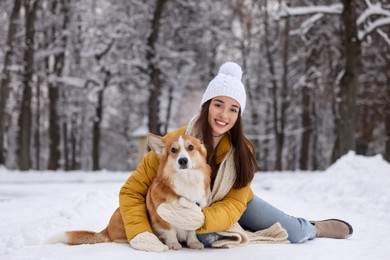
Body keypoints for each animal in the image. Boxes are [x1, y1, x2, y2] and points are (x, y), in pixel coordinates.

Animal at [50, 133, 212, 251]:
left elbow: (191, 230)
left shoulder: (196, 212)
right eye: (173, 150)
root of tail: (106, 229)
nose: (183, 160)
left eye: (190, 147)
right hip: (122, 215)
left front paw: (193, 243)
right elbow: (170, 230)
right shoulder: (160, 217)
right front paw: (173, 244)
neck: (186, 179)